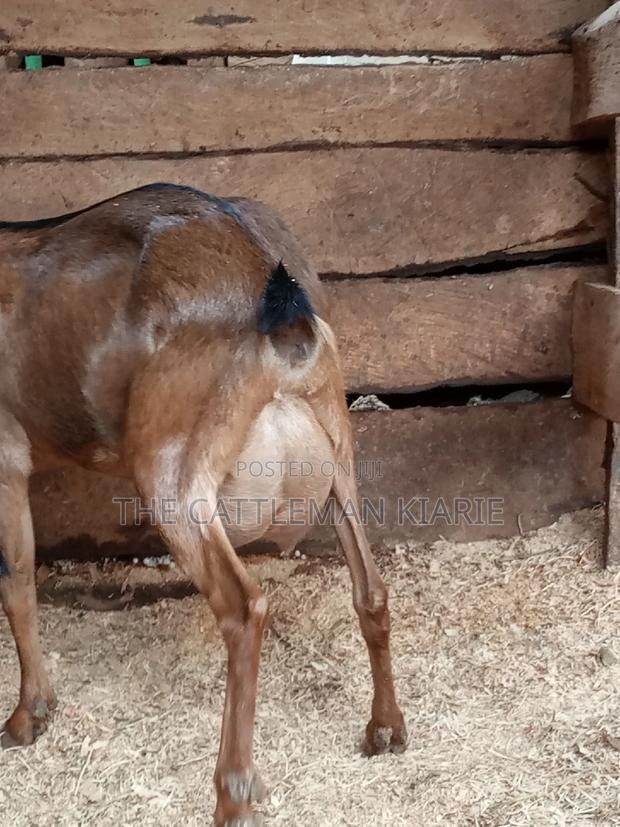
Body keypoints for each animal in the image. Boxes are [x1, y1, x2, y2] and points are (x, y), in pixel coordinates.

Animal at [0, 183, 406, 825]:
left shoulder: (6, 455)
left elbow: (16, 583)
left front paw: (27, 715)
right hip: (337, 446)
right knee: (370, 586)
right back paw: (385, 727)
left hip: (175, 480)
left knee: (243, 607)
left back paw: (232, 794)